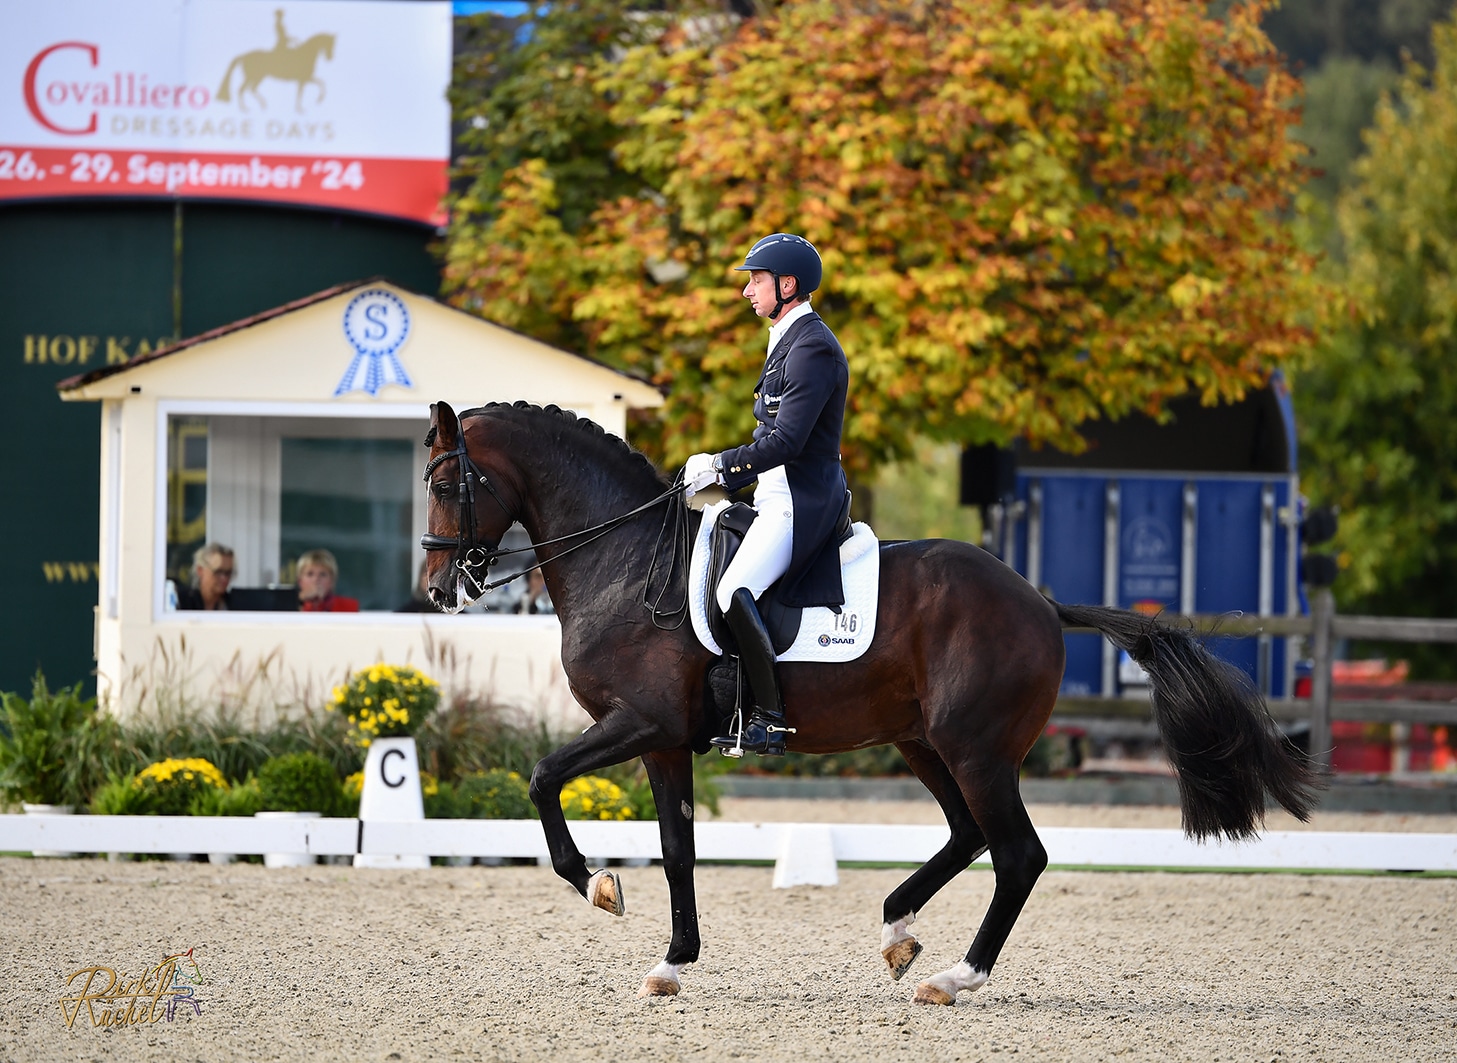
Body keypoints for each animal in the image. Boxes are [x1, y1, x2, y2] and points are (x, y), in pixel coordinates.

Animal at [419, 396, 1322, 1001]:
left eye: (449, 478)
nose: (437, 587)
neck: (627, 559)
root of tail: (1037, 599)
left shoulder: (641, 722)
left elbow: (541, 776)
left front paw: (597, 883)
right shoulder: (665, 742)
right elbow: (676, 849)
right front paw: (671, 962)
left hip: (975, 749)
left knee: (1017, 853)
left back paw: (956, 975)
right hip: (924, 742)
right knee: (968, 835)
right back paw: (898, 931)